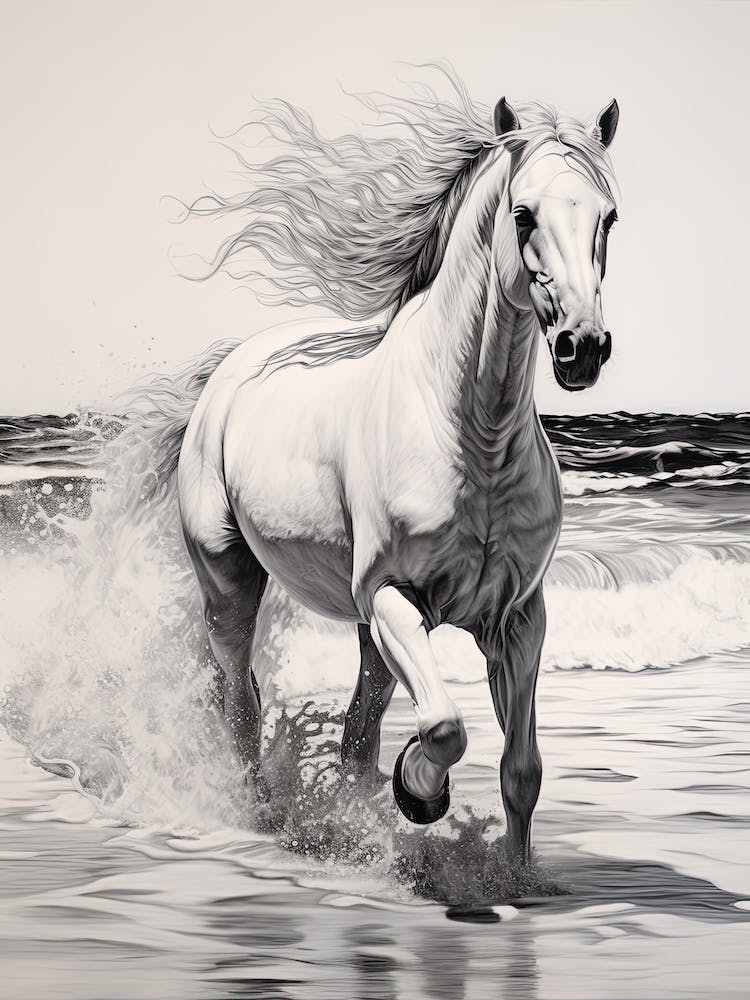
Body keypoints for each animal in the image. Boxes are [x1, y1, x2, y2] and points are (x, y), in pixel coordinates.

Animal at [147, 81, 620, 862]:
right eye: (524, 214)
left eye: (608, 217)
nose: (582, 346)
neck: (475, 439)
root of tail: (232, 371)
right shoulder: (396, 597)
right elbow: (446, 729)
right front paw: (420, 794)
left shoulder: (518, 618)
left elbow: (520, 770)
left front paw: (517, 875)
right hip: (231, 584)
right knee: (242, 705)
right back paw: (263, 821)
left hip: (368, 627)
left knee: (355, 733)